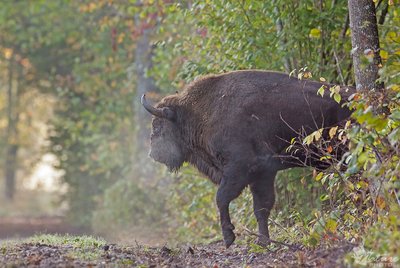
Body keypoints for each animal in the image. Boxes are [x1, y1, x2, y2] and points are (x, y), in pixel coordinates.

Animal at [141, 70, 354, 248]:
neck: (197, 114)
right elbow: (261, 208)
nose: (153, 153)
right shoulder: (263, 174)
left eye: (158, 125)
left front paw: (229, 238)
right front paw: (263, 241)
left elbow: (222, 198)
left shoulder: (240, 169)